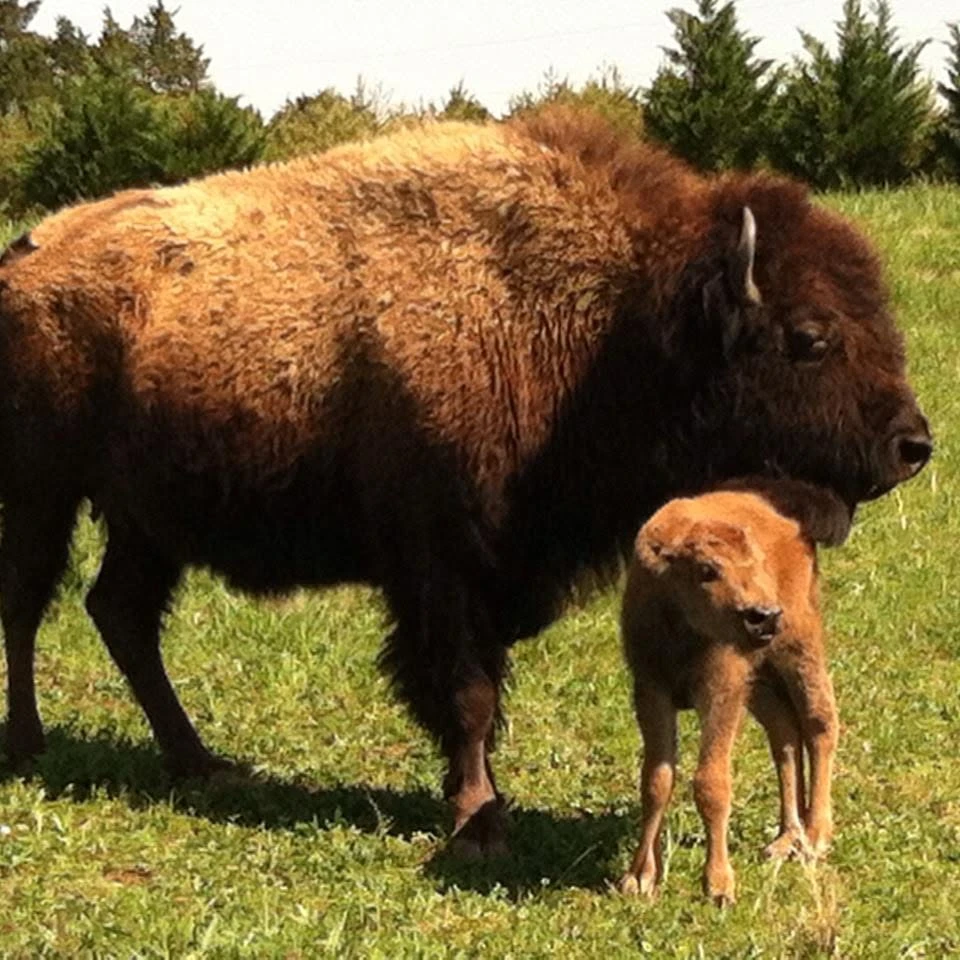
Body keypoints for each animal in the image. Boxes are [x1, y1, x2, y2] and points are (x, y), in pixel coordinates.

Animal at [0, 108, 931, 854]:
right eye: (810, 336)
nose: (912, 445)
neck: (612, 319)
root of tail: (28, 258)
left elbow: (477, 689)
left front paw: (474, 800)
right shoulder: (438, 567)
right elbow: (468, 692)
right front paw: (479, 818)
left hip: (145, 519)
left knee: (119, 613)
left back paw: (200, 762)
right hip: (44, 488)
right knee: (30, 602)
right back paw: (30, 744)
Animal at [618, 480, 847, 904]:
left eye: (755, 563)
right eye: (707, 571)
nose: (764, 616)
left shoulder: (721, 693)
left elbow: (711, 782)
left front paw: (718, 885)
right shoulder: (652, 691)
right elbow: (656, 780)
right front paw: (640, 877)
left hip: (798, 648)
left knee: (819, 722)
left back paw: (815, 837)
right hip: (759, 682)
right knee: (785, 734)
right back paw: (786, 838)